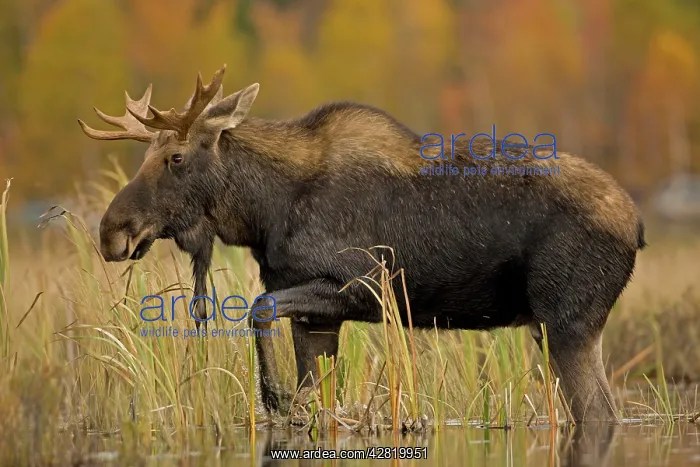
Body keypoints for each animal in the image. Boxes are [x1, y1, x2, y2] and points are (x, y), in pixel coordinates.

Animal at [78, 64, 646, 423]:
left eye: (174, 157)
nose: (111, 232)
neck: (264, 213)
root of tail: (637, 226)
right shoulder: (318, 318)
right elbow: (312, 396)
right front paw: (284, 398)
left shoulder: (361, 286)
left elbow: (258, 308)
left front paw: (272, 394)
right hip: (558, 327)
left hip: (566, 322)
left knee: (599, 415)